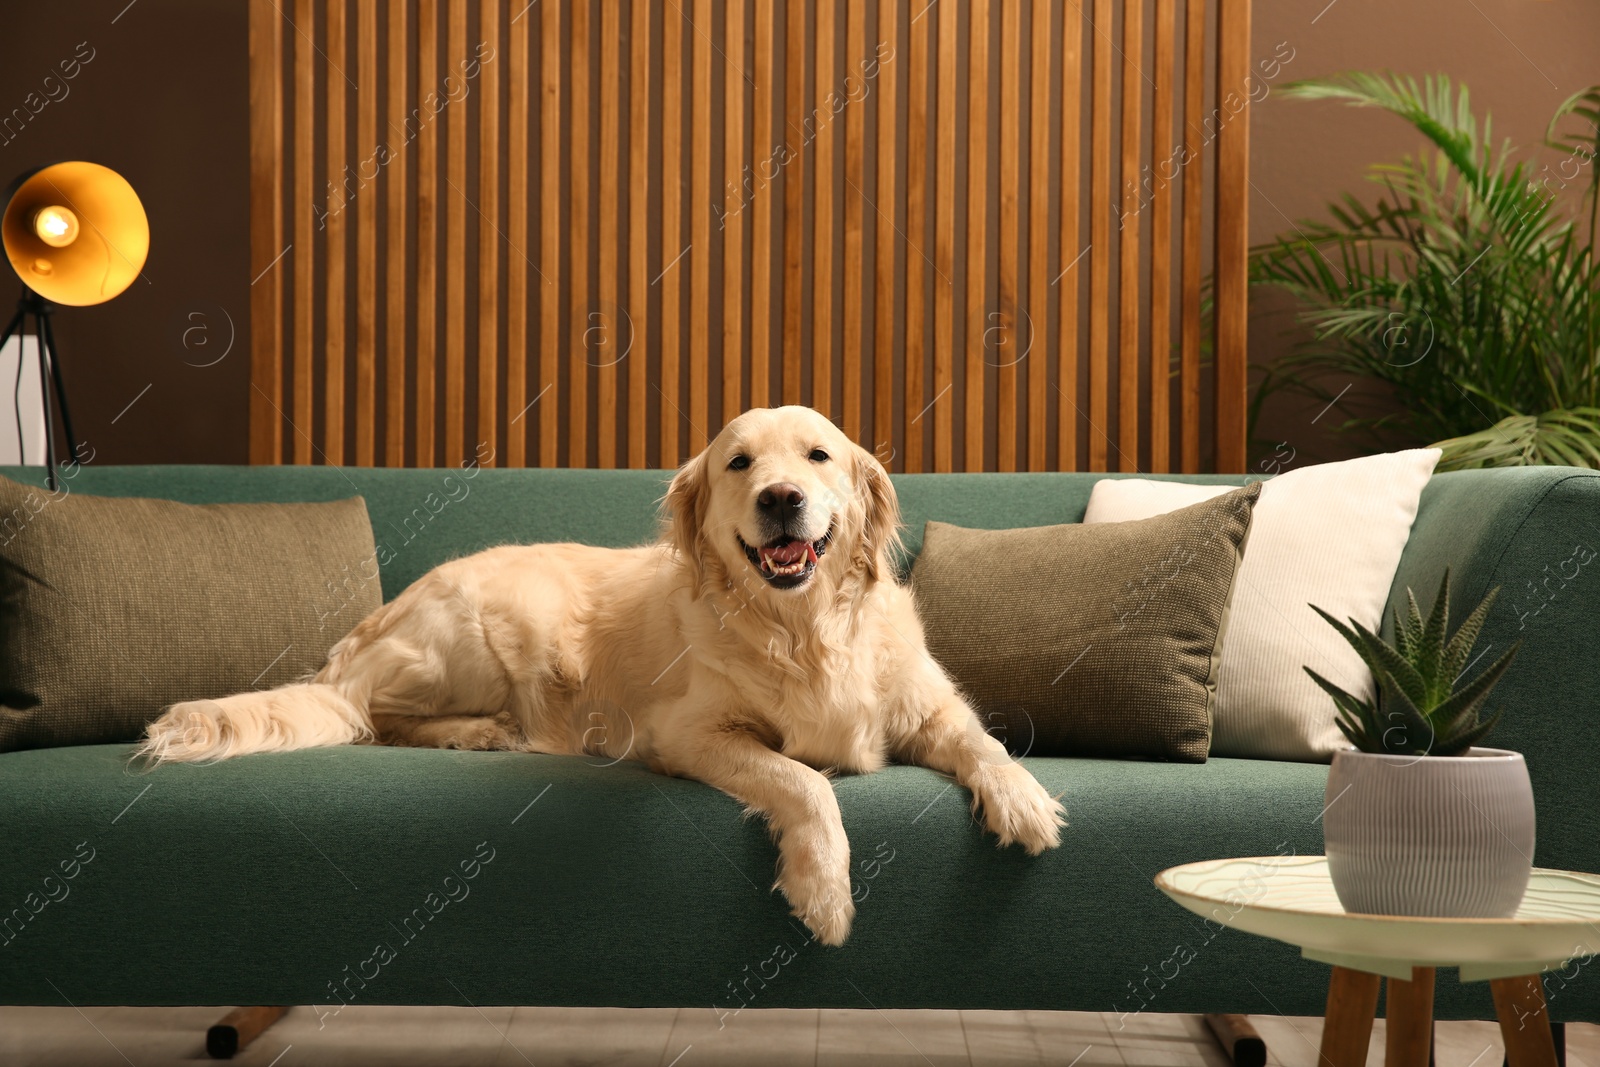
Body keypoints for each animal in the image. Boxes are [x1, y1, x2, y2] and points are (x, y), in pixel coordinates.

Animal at [137, 403, 1062, 940]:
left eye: (818, 456)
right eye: (739, 463)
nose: (781, 499)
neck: (802, 630)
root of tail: (369, 627)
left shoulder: (928, 705)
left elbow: (981, 740)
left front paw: (1024, 800)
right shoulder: (686, 732)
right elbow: (803, 779)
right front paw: (823, 888)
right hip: (494, 627)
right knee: (376, 716)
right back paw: (477, 731)